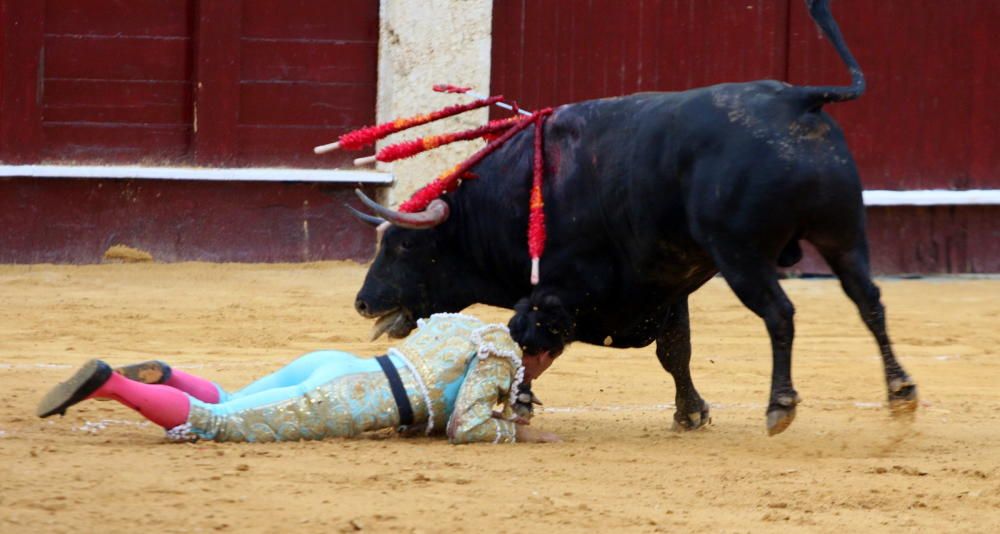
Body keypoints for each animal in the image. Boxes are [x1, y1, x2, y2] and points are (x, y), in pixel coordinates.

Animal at [350, 0, 916, 436]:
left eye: (403, 245)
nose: (362, 302)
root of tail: (799, 98)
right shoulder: (665, 289)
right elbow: (675, 351)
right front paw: (691, 413)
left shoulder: (559, 289)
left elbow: (526, 336)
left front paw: (520, 402)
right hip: (844, 234)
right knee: (869, 301)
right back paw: (901, 392)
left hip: (742, 256)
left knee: (780, 313)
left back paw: (780, 405)